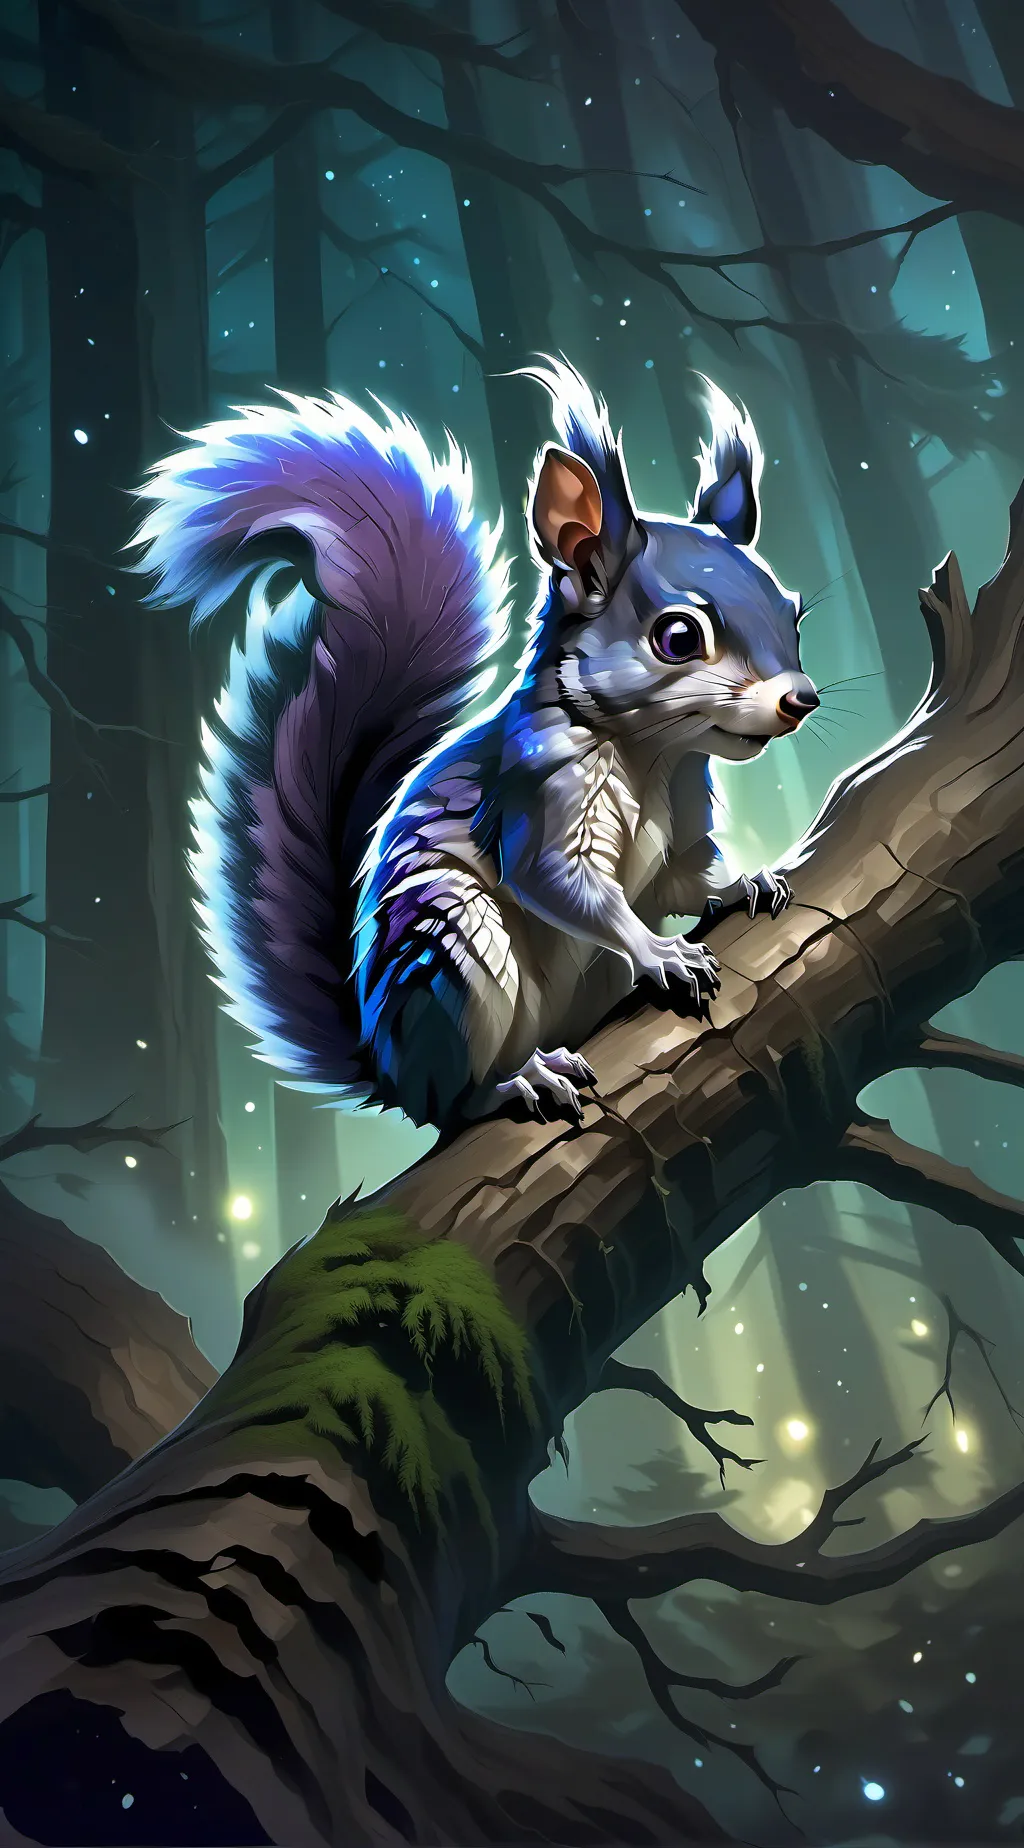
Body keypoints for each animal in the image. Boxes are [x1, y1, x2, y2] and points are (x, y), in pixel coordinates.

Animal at [132, 358, 817, 1133]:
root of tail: (390, 1070)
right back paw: (519, 1080)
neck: (654, 755)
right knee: (455, 1101)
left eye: (792, 611)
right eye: (677, 637)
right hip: (455, 950)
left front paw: (748, 881)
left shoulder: (684, 828)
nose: (800, 699)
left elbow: (690, 876)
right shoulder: (538, 797)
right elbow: (561, 884)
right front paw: (659, 949)